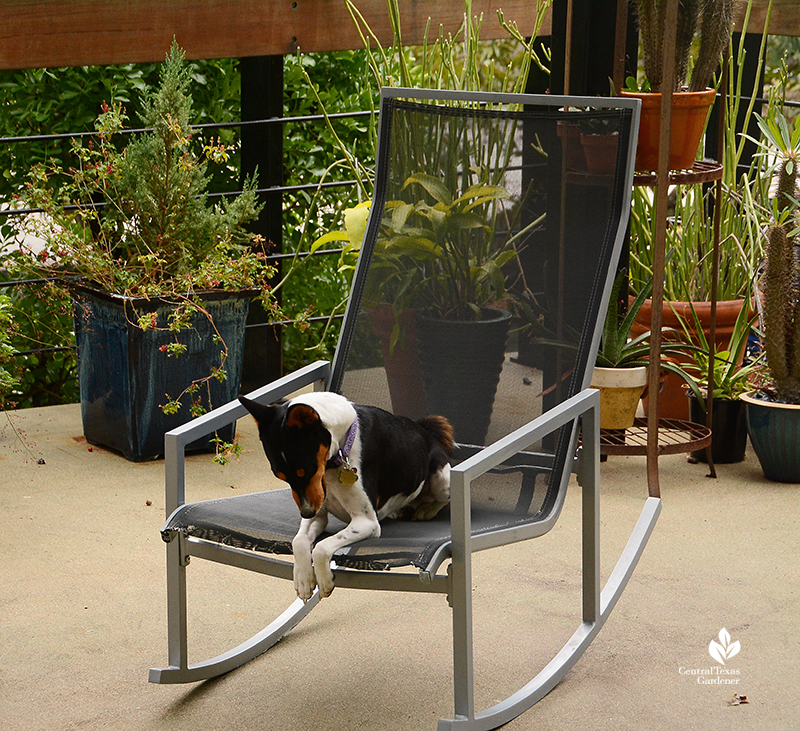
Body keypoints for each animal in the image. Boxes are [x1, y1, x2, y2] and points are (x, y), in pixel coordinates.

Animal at [238, 392, 454, 604]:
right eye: (280, 477)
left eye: (308, 470)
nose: (306, 512)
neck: (341, 448)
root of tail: (426, 431)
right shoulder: (318, 515)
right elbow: (298, 542)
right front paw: (303, 580)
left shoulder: (366, 522)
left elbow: (320, 548)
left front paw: (324, 580)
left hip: (441, 478)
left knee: (443, 499)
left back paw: (426, 510)